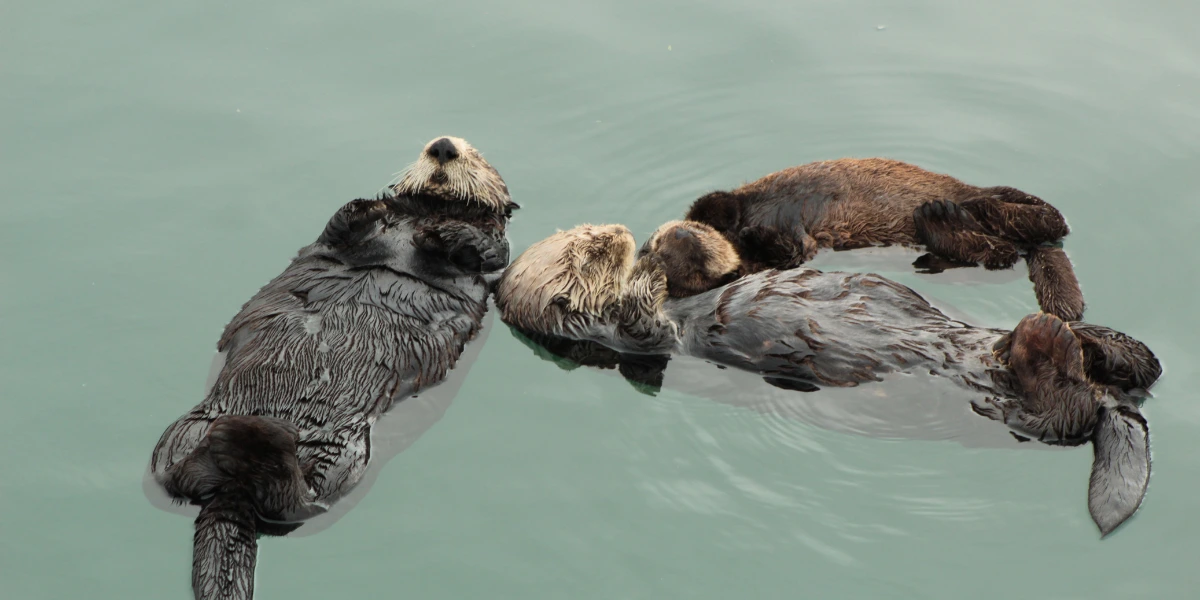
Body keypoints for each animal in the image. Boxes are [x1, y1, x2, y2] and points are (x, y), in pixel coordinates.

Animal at [150, 136, 515, 600]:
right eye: (428, 146)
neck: (425, 215)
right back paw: (245, 437)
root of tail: (232, 489)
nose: (444, 146)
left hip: (342, 460)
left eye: (479, 157)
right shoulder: (332, 238)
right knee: (173, 475)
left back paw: (262, 439)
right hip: (183, 432)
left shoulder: (494, 256)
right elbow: (338, 223)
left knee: (299, 502)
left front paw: (448, 233)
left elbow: (489, 250)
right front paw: (369, 206)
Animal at [495, 224, 1159, 536]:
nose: (618, 234)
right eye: (585, 253)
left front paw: (670, 242)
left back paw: (1094, 340)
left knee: (1140, 367)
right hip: (1007, 409)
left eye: (589, 235)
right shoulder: (636, 340)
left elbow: (714, 270)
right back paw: (1050, 341)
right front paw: (649, 267)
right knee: (1063, 410)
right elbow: (643, 319)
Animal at [673, 159, 1084, 320]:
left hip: (1005, 199)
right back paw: (943, 220)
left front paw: (736, 227)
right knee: (1000, 251)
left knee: (1051, 219)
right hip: (982, 254)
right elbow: (787, 252)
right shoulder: (786, 255)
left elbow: (718, 206)